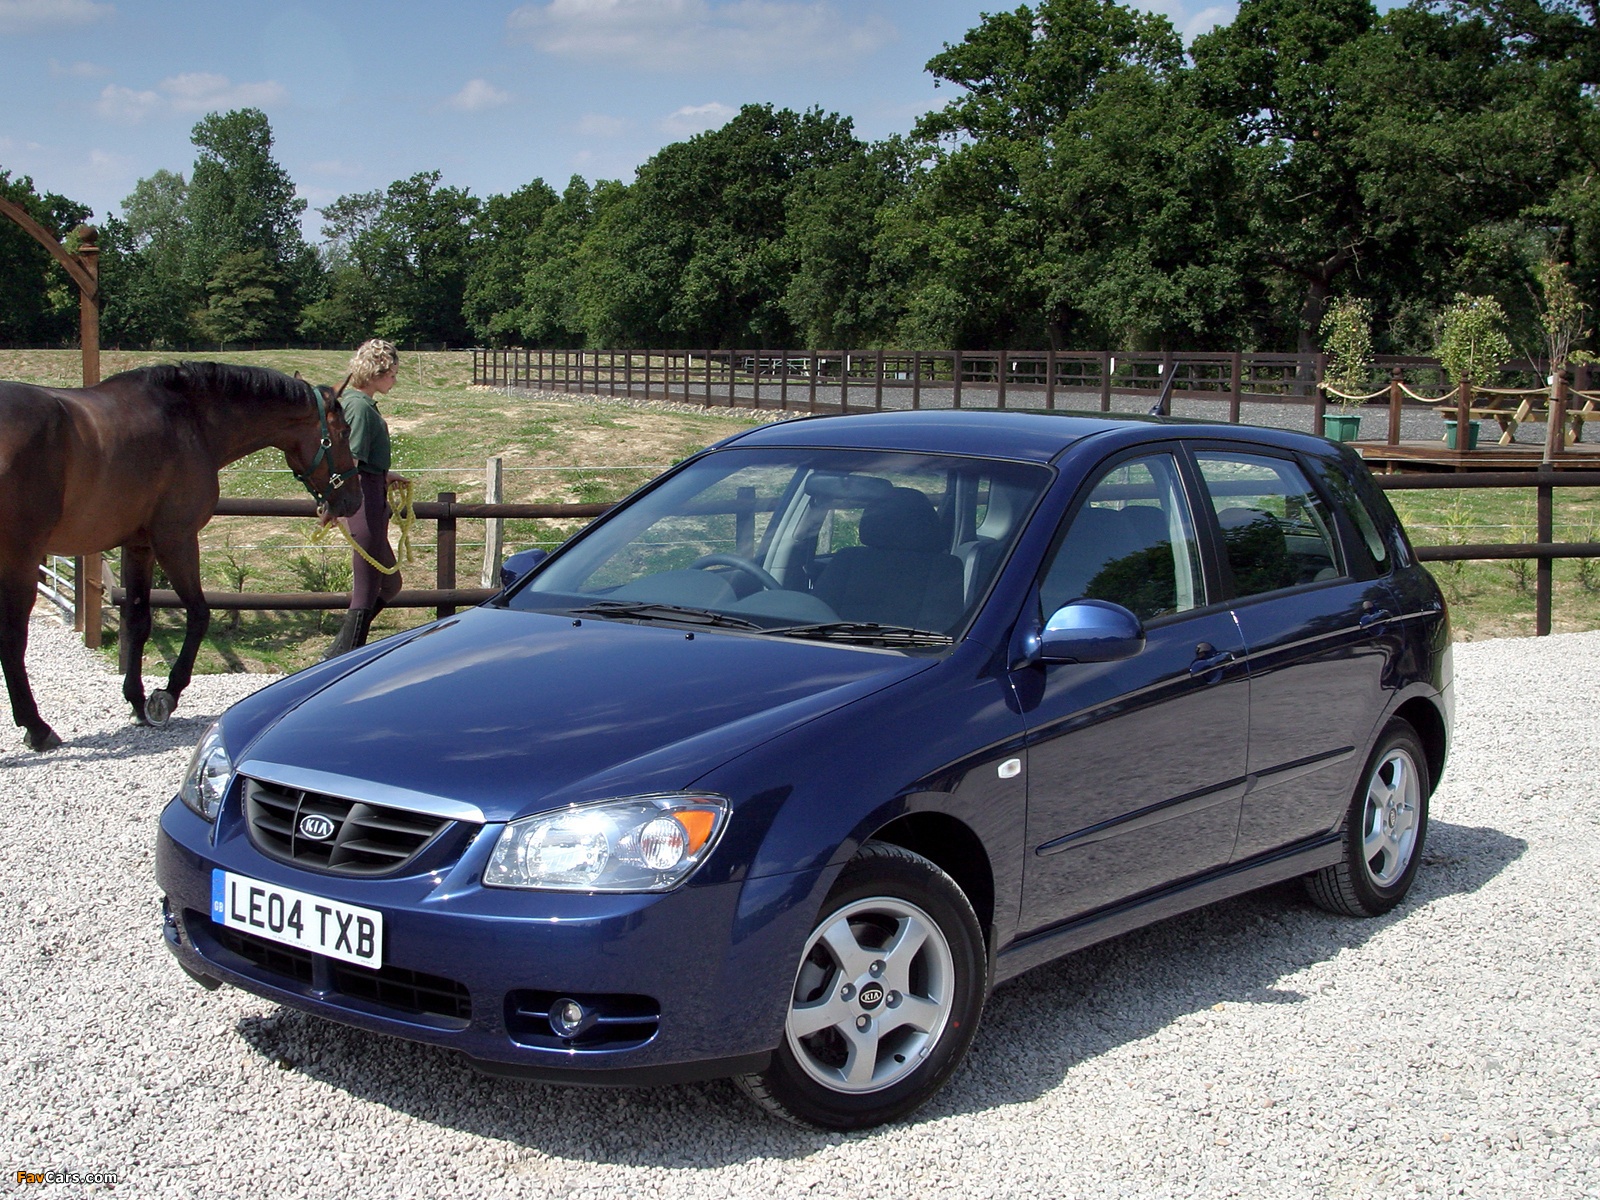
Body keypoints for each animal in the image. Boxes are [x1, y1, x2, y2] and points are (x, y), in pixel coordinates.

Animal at [0, 361, 363, 752]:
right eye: (343, 432)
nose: (353, 500)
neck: (190, 421)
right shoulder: (177, 540)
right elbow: (200, 614)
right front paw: (166, 696)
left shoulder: (140, 546)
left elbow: (139, 620)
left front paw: (137, 701)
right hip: (21, 558)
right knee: (13, 638)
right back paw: (37, 727)